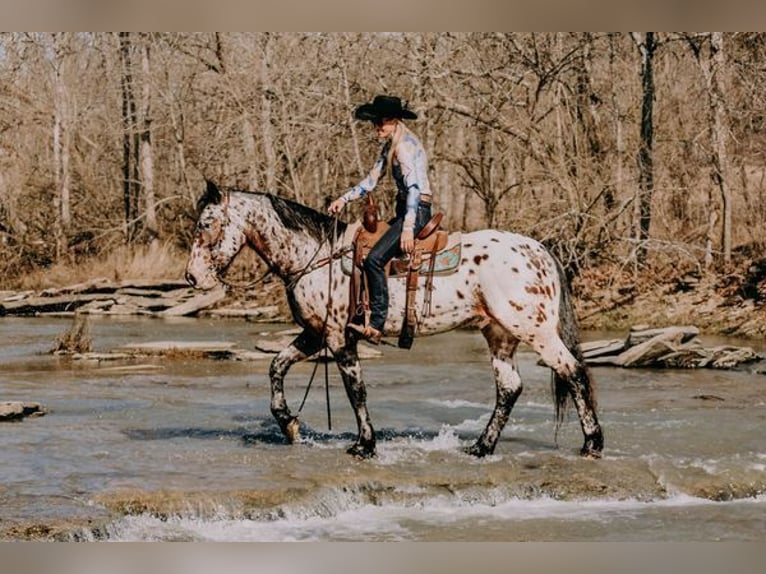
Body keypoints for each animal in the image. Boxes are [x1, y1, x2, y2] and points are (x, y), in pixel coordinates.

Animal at [188, 182, 608, 462]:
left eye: (206, 224)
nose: (192, 277)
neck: (314, 256)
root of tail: (540, 251)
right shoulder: (315, 334)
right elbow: (276, 367)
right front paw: (288, 423)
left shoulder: (339, 337)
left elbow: (355, 391)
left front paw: (364, 445)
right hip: (499, 333)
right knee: (510, 388)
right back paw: (481, 447)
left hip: (535, 331)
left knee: (573, 373)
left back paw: (592, 443)